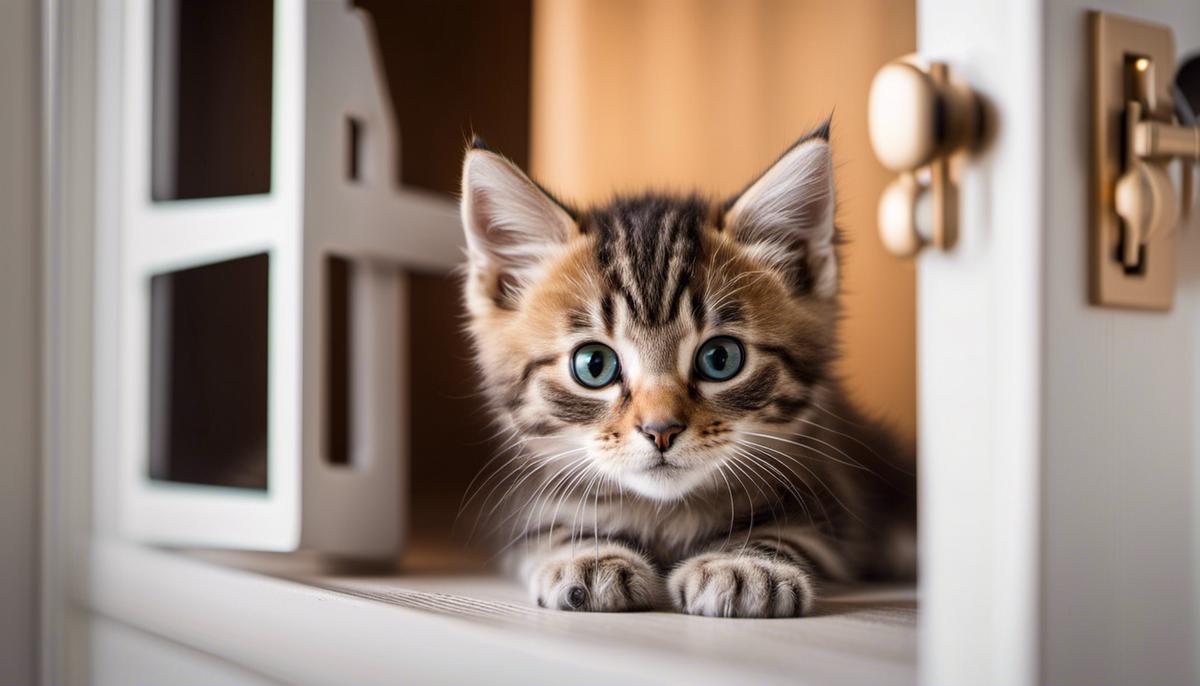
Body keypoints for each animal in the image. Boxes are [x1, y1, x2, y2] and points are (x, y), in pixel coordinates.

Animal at [456, 121, 907, 614]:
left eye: (720, 358)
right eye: (594, 365)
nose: (661, 430)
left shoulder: (832, 498)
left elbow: (797, 531)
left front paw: (745, 564)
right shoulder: (521, 507)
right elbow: (545, 531)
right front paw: (587, 555)